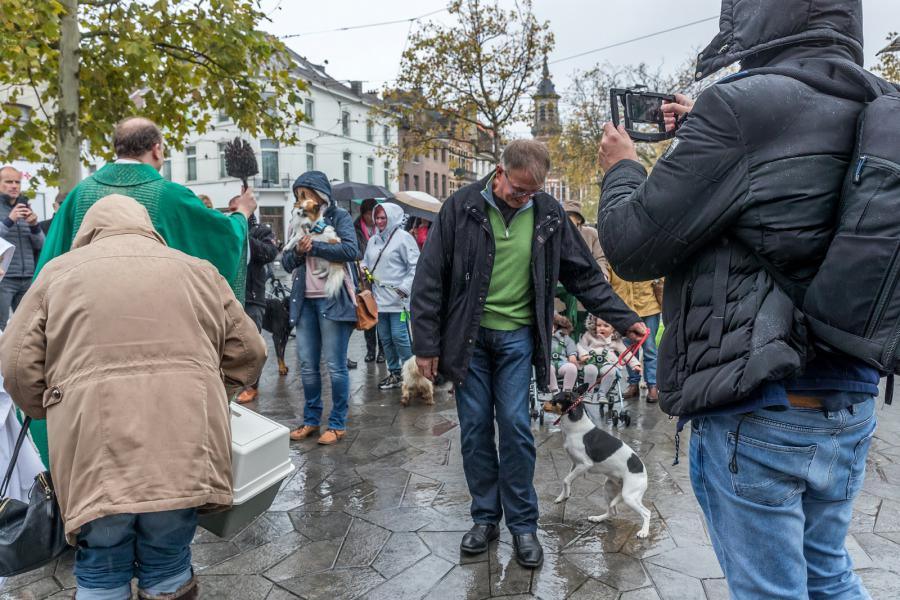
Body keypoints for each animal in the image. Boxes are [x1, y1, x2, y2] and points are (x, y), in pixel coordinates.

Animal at [540, 384, 648, 540]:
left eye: (554, 400)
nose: (541, 405)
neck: (574, 427)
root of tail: (644, 473)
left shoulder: (584, 465)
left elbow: (566, 480)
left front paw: (564, 495)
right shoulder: (575, 464)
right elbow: (567, 480)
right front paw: (563, 496)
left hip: (629, 496)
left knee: (646, 513)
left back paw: (644, 531)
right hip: (609, 488)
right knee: (613, 511)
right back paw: (598, 518)